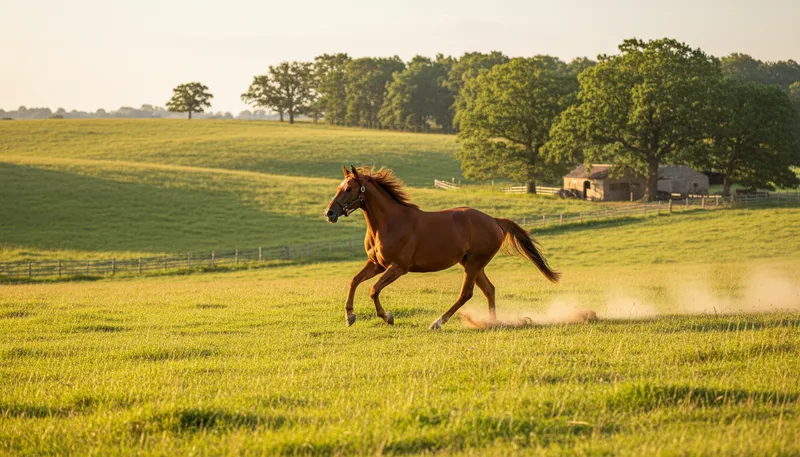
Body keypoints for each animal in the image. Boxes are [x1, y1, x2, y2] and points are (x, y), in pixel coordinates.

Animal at [324, 165, 559, 329]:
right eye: (338, 187)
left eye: (349, 188)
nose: (330, 213)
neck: (389, 223)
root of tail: (494, 221)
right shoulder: (377, 264)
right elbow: (354, 281)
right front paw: (350, 317)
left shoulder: (398, 267)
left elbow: (374, 289)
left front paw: (388, 317)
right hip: (473, 265)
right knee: (489, 290)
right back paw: (491, 322)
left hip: (473, 265)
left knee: (466, 294)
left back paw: (438, 322)